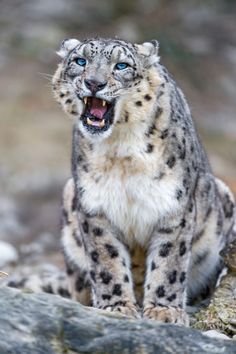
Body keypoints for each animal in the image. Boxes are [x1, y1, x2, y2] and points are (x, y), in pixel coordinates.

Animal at [51, 37, 234, 324]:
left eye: (121, 65)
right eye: (80, 61)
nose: (94, 83)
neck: (119, 150)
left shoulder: (174, 206)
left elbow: (169, 261)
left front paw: (164, 311)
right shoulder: (94, 207)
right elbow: (106, 260)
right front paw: (116, 306)